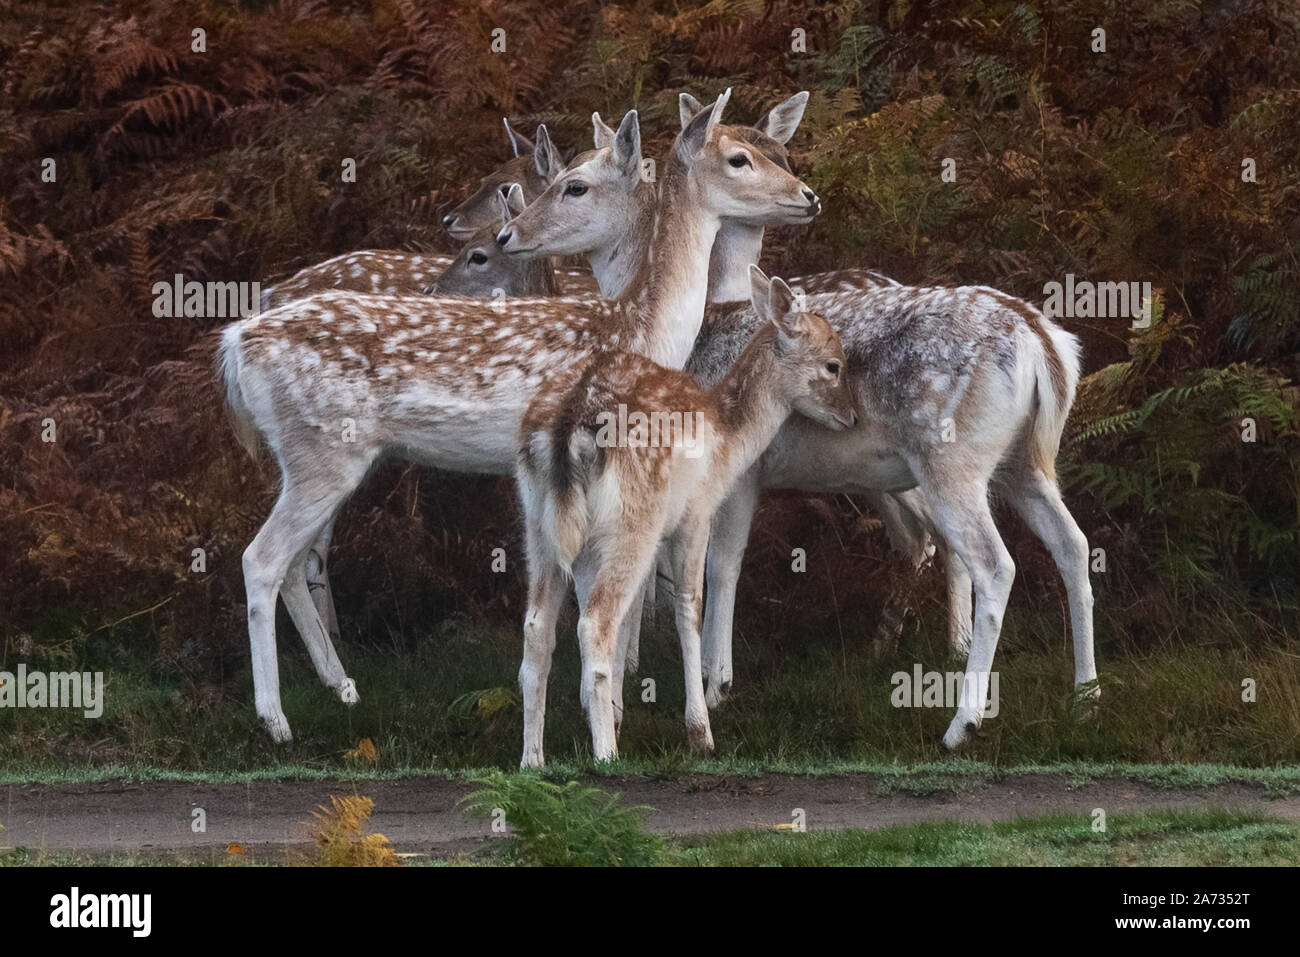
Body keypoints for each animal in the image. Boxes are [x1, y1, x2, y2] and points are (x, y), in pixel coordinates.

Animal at [219, 91, 824, 743]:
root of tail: (236, 343)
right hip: (323, 451)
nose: (807, 194)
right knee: (262, 559)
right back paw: (276, 719)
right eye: (740, 158)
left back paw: (342, 687)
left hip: (312, 455)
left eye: (778, 152)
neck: (641, 326)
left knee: (294, 562)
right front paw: (609, 709)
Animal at [517, 266, 856, 765]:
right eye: (833, 364)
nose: (851, 415)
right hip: (632, 520)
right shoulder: (695, 513)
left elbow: (634, 616)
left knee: (538, 629)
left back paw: (532, 758)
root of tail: (569, 424)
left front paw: (614, 711)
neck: (728, 441)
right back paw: (606, 756)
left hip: (539, 524)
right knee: (595, 620)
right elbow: (688, 608)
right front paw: (700, 732)